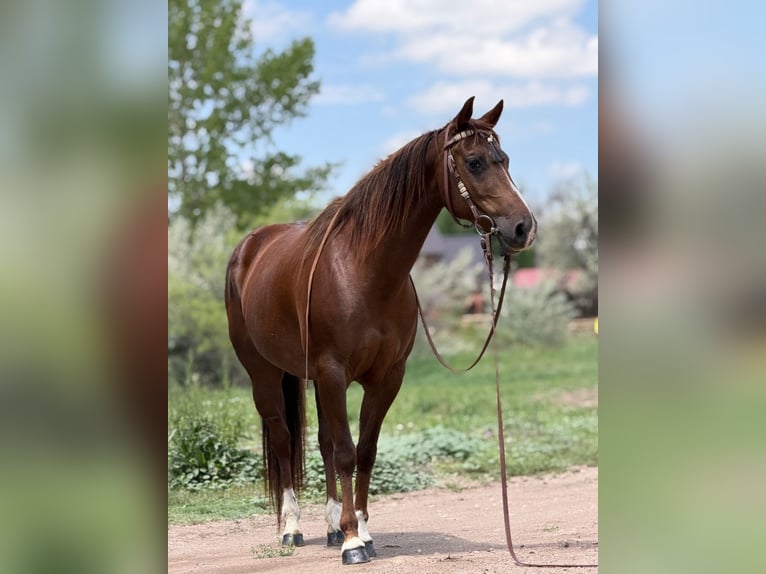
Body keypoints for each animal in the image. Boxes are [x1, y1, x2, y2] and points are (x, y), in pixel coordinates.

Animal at [225, 97, 536, 565]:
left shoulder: (387, 377)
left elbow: (364, 451)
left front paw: (359, 530)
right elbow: (346, 452)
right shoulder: (334, 373)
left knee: (321, 442)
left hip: (310, 378)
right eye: (476, 162)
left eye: (507, 160)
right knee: (283, 441)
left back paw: (331, 526)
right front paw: (353, 544)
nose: (523, 227)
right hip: (264, 374)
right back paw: (292, 529)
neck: (364, 270)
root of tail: (249, 247)